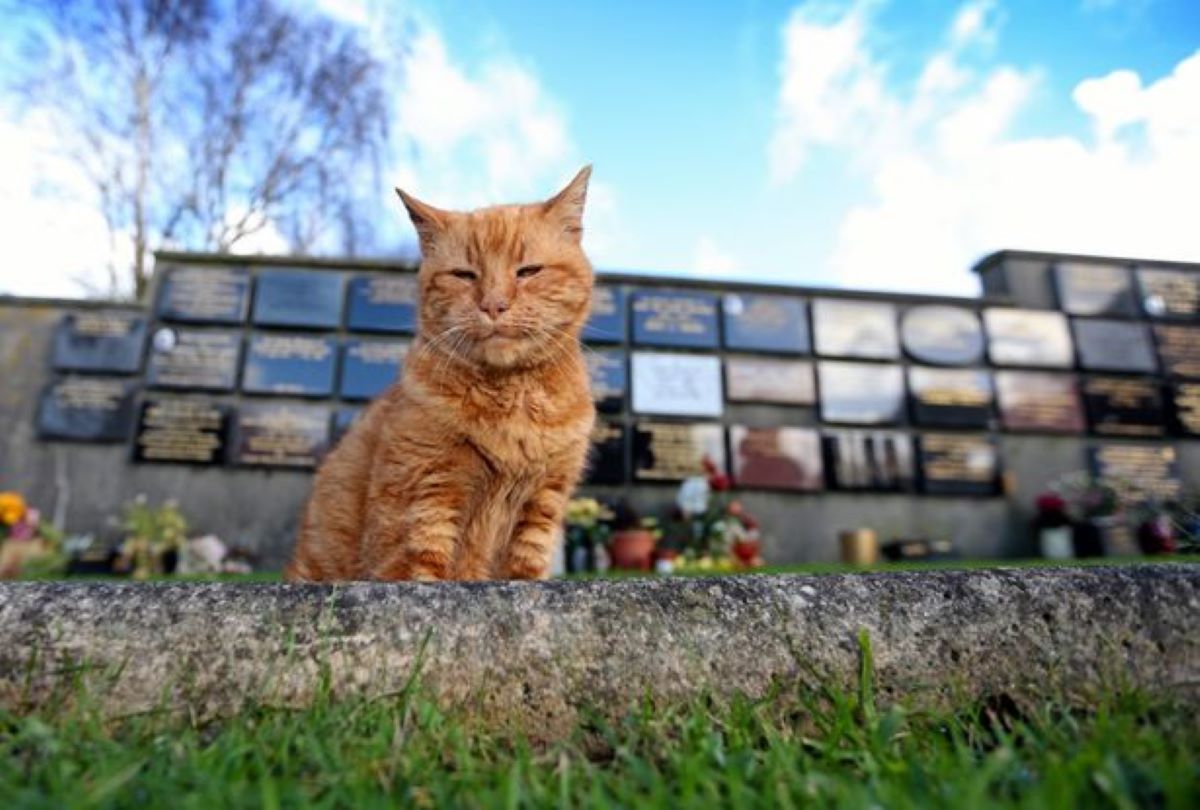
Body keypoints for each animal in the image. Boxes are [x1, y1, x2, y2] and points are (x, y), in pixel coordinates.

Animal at [285, 168, 595, 580]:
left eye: (528, 271)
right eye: (464, 275)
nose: (493, 305)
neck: (509, 399)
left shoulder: (542, 505)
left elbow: (523, 571)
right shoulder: (424, 496)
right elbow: (420, 571)